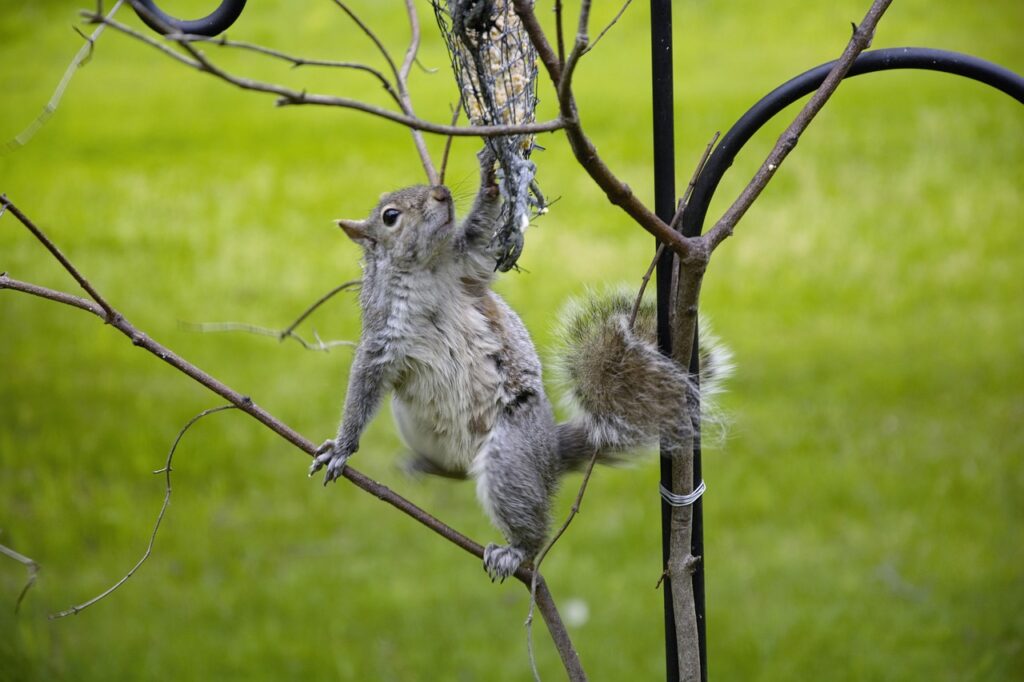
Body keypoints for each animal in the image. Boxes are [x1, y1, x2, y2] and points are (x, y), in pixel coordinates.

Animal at [307, 148, 733, 577]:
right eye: (390, 216)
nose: (442, 193)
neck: (425, 268)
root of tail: (549, 454)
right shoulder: (382, 338)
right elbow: (363, 389)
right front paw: (341, 449)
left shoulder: (468, 264)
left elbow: (483, 231)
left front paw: (490, 176)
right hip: (418, 425)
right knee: (457, 472)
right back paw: (426, 467)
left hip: (510, 452)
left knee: (523, 516)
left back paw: (515, 551)